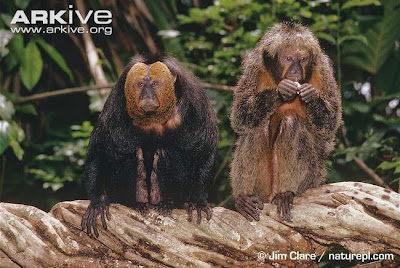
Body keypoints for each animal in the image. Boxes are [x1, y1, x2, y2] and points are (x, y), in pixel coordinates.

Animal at [82, 54, 219, 237]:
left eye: (154, 84)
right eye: (140, 84)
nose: (147, 95)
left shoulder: (196, 101)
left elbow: (204, 152)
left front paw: (198, 201)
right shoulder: (115, 102)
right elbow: (99, 151)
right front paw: (97, 201)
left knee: (166, 152)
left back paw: (167, 203)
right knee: (133, 153)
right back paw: (136, 203)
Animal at [231, 22, 340, 221]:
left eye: (303, 59)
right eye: (288, 58)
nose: (296, 70)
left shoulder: (323, 70)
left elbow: (330, 124)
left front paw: (310, 97)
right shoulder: (254, 67)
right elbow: (240, 117)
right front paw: (280, 92)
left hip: (311, 178)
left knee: (291, 124)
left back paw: (285, 193)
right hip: (263, 187)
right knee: (256, 128)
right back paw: (244, 198)